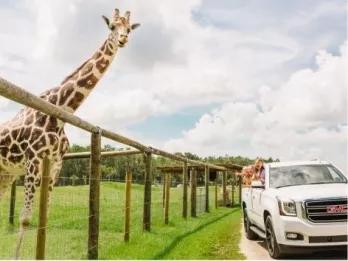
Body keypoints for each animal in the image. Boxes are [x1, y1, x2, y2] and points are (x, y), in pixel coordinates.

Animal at [0, 7, 139, 256]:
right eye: (112, 26)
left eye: (129, 28)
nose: (123, 39)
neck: (61, 110)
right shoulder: (33, 160)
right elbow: (25, 219)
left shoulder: (55, 164)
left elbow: (44, 216)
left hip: (6, 173)